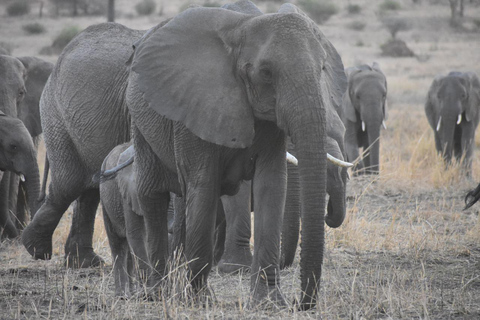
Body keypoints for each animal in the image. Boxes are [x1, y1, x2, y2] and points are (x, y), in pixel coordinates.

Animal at [125, 1, 346, 308]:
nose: (301, 304)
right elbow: (204, 186)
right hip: (140, 120)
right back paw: (158, 293)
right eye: (266, 73)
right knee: (153, 194)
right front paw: (199, 301)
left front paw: (269, 303)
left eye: (322, 68)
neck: (242, 29)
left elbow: (271, 186)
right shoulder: (194, 106)